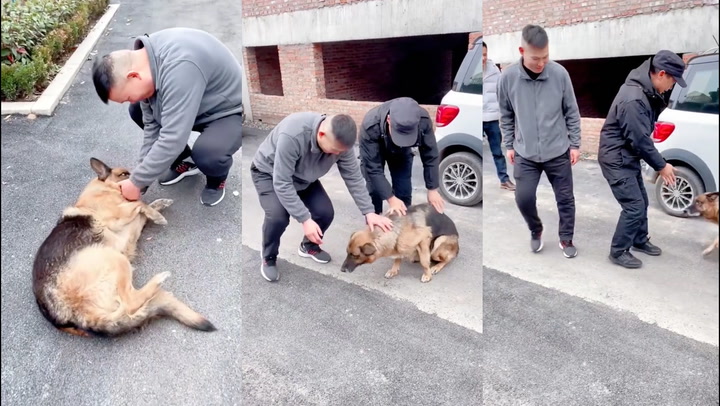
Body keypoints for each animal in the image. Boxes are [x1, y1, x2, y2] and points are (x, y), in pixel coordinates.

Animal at [31, 157, 217, 338]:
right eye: (124, 174)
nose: (144, 183)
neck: (105, 188)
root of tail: (75, 318)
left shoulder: (132, 224)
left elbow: (143, 209)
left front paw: (159, 206)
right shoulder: (119, 215)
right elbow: (140, 203)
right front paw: (157, 214)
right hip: (114, 258)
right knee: (130, 302)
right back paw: (158, 280)